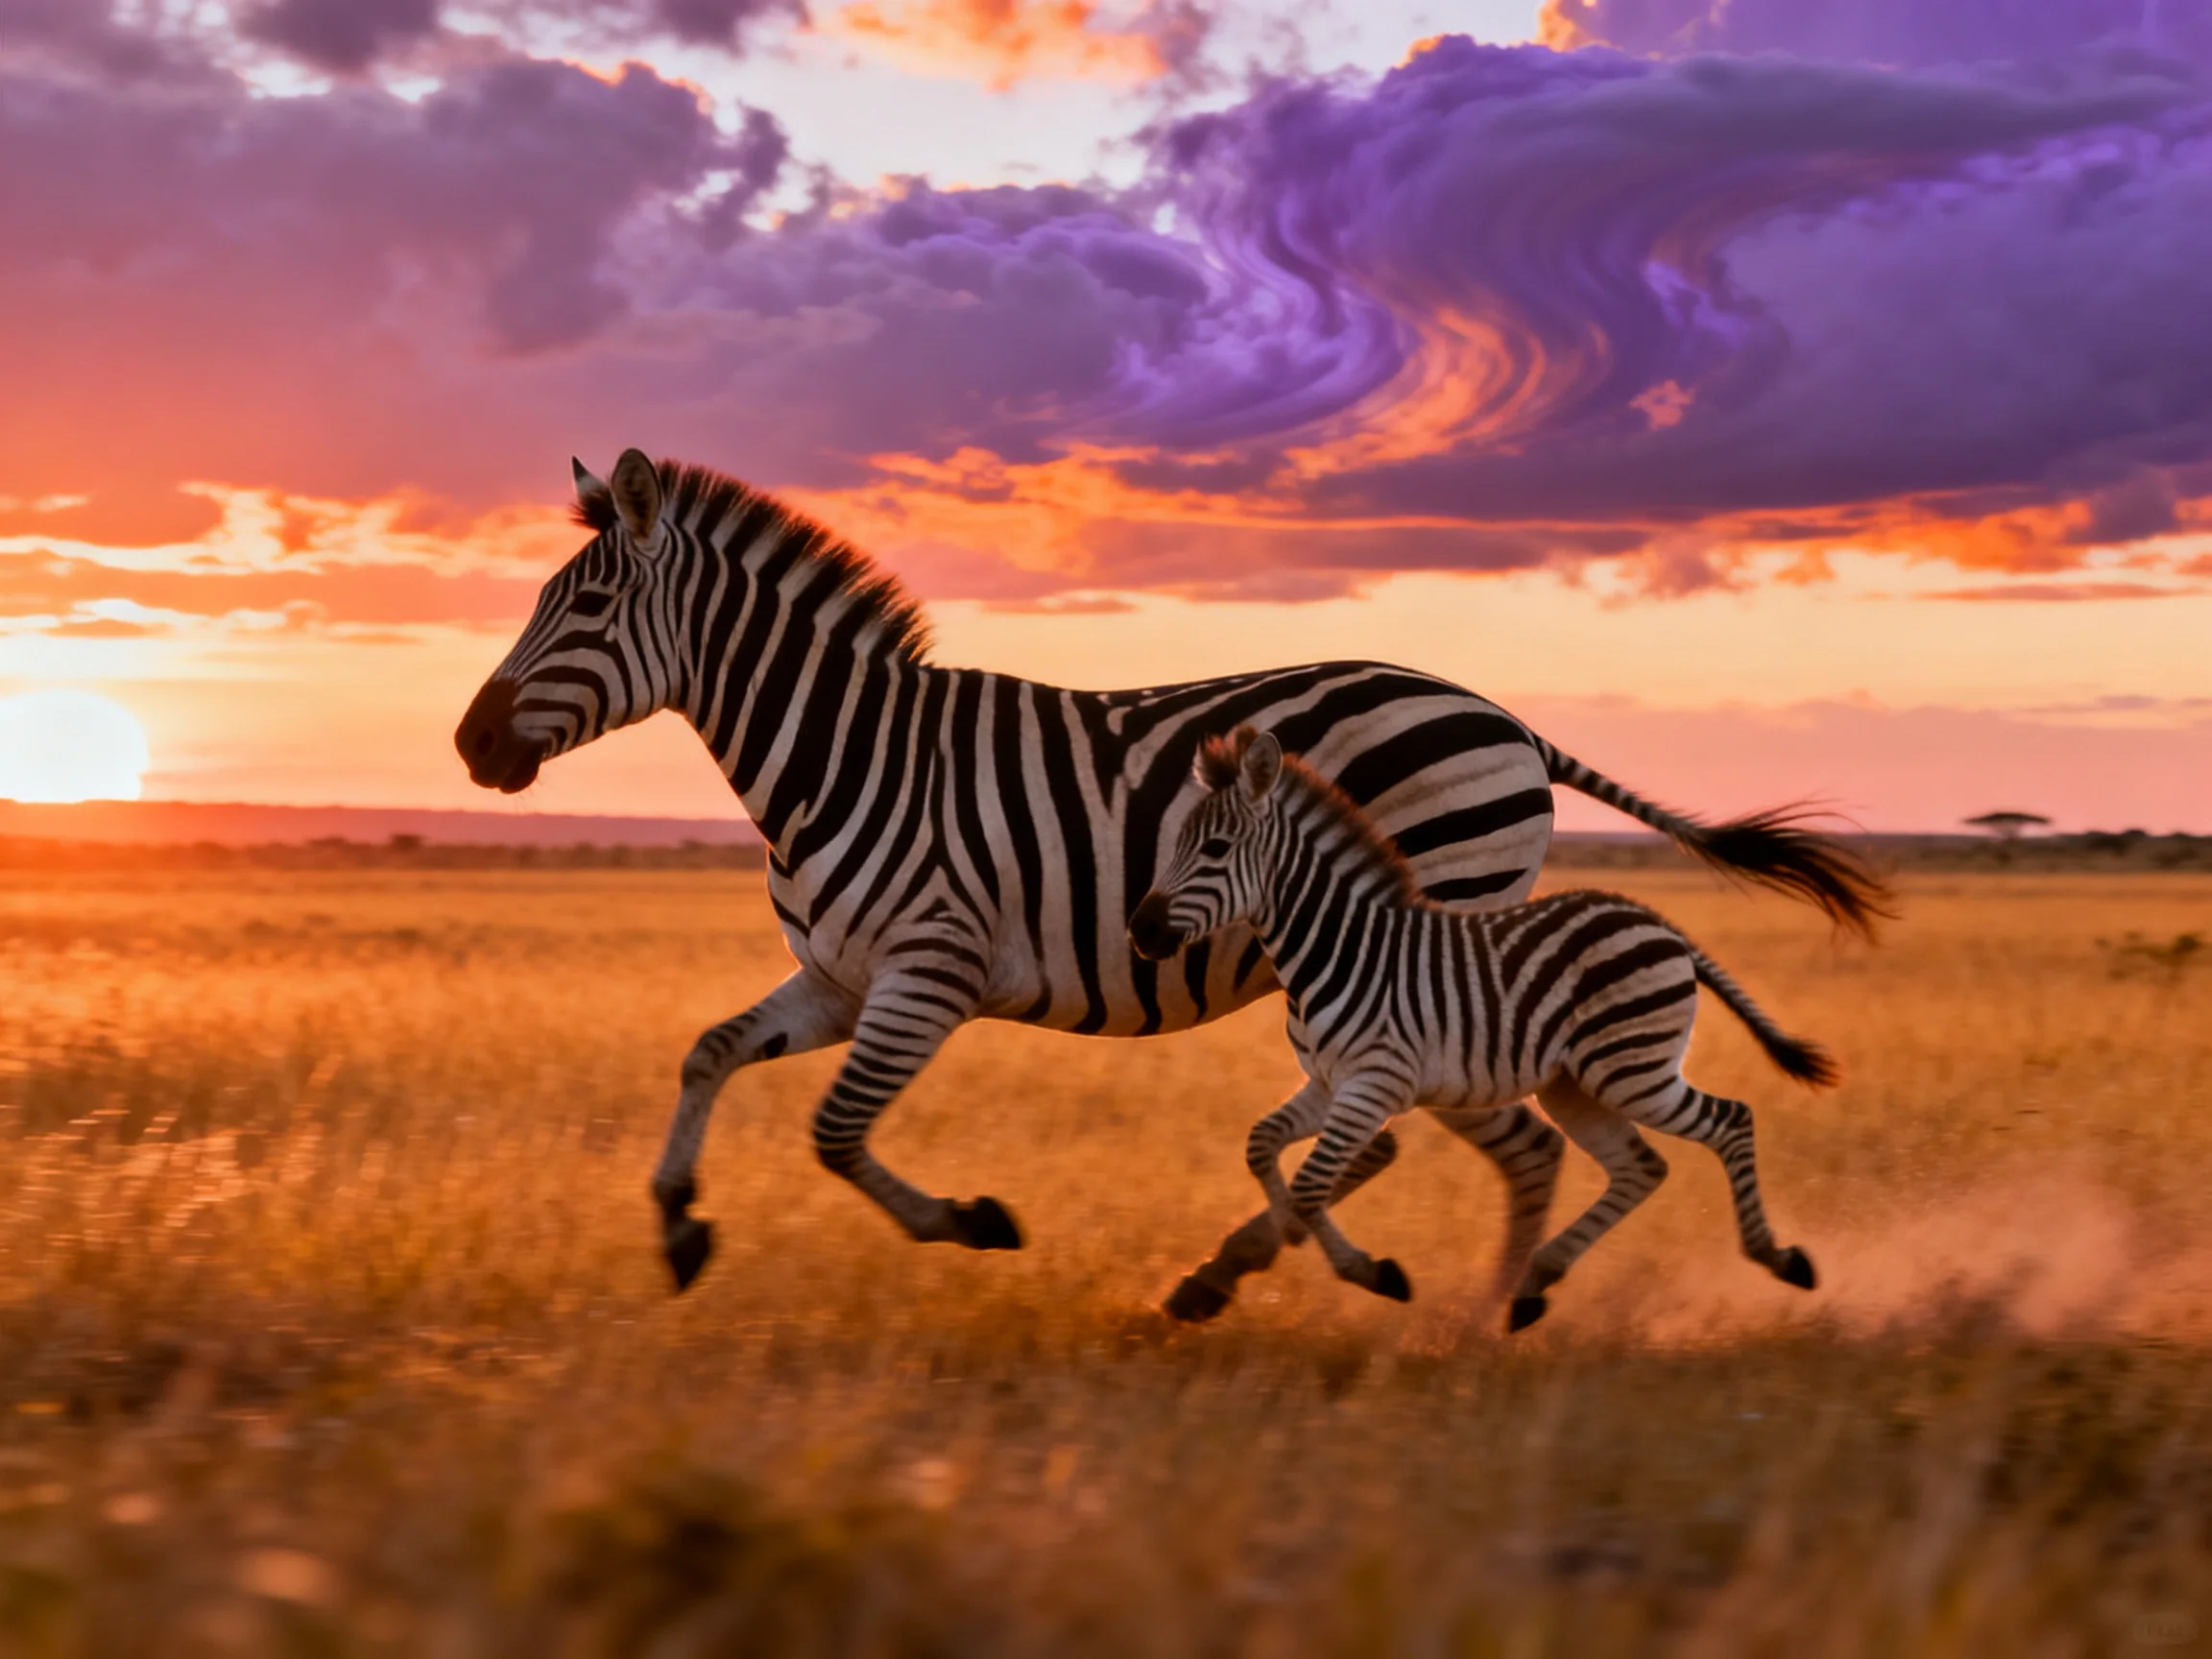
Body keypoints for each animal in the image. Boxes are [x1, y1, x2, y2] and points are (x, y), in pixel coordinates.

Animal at [1127, 726, 1835, 1328]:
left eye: (1215, 849)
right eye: (1175, 844)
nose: (1142, 931)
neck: (1336, 947)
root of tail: (1657, 922)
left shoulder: (1375, 1084)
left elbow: (1308, 1187)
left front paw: (1370, 1272)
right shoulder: (1328, 1084)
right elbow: (1263, 1146)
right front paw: (1309, 1250)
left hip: (1632, 1070)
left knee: (1731, 1120)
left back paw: (1781, 1259)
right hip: (1574, 1086)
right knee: (1643, 1167)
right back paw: (1531, 1288)